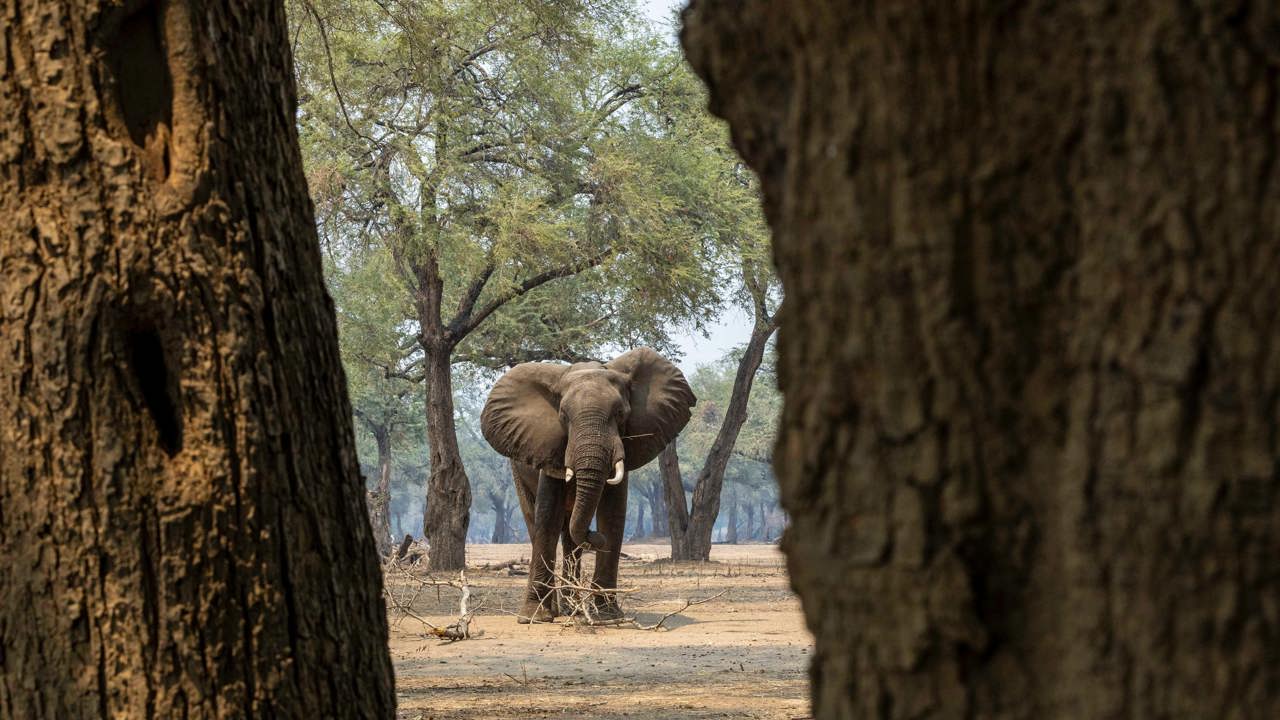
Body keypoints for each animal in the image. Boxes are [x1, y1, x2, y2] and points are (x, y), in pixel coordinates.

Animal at [480, 347, 696, 623]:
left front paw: (608, 615)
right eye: (563, 416)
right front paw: (534, 617)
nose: (594, 536)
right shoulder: (549, 447)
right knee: (536, 522)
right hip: (517, 469)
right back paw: (557, 609)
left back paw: (570, 607)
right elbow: (547, 517)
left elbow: (613, 515)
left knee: (570, 537)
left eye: (620, 414)